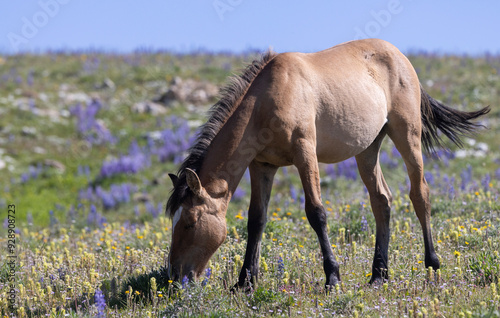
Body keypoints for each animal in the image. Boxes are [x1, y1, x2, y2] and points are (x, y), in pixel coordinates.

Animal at [165, 38, 488, 286]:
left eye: (190, 223)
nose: (175, 277)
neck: (268, 98)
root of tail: (400, 56)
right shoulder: (262, 166)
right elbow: (256, 219)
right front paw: (245, 282)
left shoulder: (305, 153)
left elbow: (316, 213)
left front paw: (332, 277)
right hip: (367, 150)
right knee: (381, 201)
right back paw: (378, 276)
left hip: (406, 135)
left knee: (419, 193)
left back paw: (432, 265)